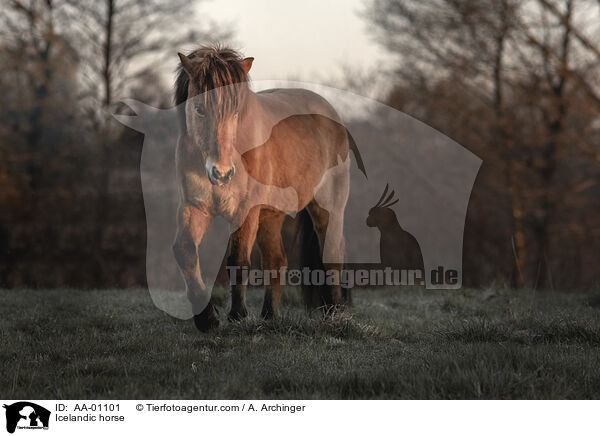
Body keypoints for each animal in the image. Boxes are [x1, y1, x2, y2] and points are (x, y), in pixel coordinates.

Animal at [172, 45, 352, 330]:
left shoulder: (245, 212)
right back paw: (269, 316)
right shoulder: (194, 208)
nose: (221, 173)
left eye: (236, 112)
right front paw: (207, 318)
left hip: (328, 210)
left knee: (331, 257)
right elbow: (185, 251)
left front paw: (237, 315)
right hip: (270, 217)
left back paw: (334, 314)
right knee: (276, 261)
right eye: (199, 109)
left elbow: (238, 260)